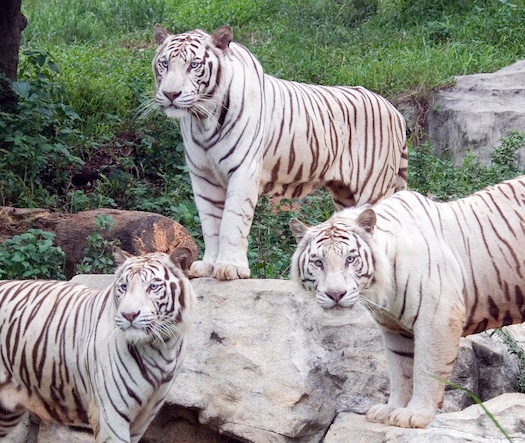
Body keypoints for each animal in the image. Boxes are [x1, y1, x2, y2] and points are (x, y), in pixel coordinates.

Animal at [0, 248, 195, 443]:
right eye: (124, 287)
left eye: (153, 287)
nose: (129, 315)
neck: (162, 346)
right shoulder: (111, 415)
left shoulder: (145, 416)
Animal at [152, 24, 410, 280]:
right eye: (164, 64)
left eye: (193, 65)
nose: (171, 94)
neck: (203, 118)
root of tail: (394, 111)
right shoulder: (203, 176)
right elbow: (211, 223)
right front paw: (208, 265)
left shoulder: (243, 170)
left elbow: (232, 221)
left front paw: (230, 267)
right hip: (345, 194)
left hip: (373, 188)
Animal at [288, 177, 524, 430]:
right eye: (318, 262)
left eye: (350, 259)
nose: (335, 294)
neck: (383, 288)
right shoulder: (394, 329)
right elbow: (399, 371)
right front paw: (390, 410)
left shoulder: (438, 319)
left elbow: (426, 370)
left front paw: (416, 415)